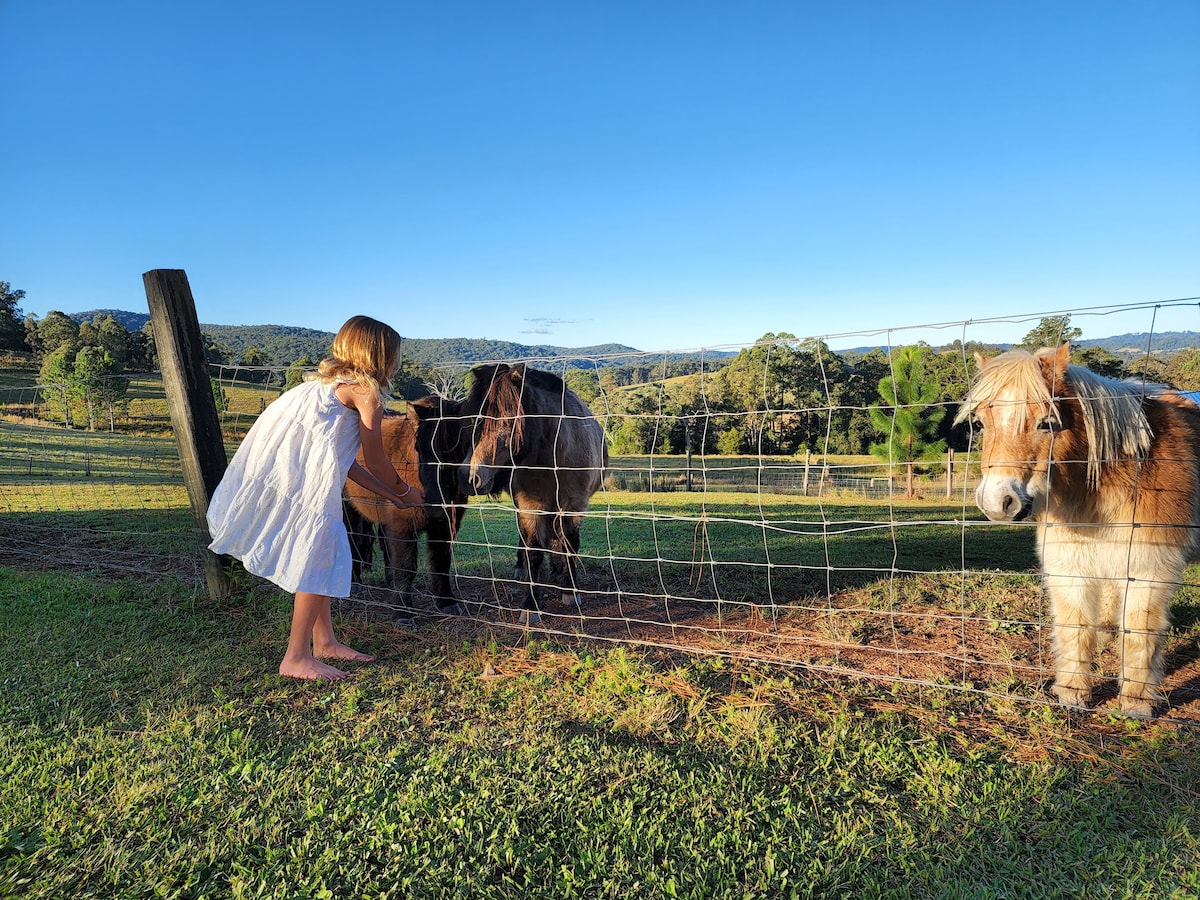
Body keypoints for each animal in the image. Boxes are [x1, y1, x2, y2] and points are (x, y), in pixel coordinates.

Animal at [415, 362, 609, 624]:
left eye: (508, 422)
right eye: (471, 423)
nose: (467, 478)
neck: (553, 455)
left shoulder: (574, 505)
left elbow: (569, 545)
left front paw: (569, 590)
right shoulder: (531, 505)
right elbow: (534, 550)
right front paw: (531, 605)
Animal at [955, 345, 1200, 720]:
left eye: (1047, 423)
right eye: (981, 423)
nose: (998, 502)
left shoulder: (1149, 568)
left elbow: (1140, 632)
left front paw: (1136, 703)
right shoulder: (1069, 564)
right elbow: (1075, 626)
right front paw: (1072, 693)